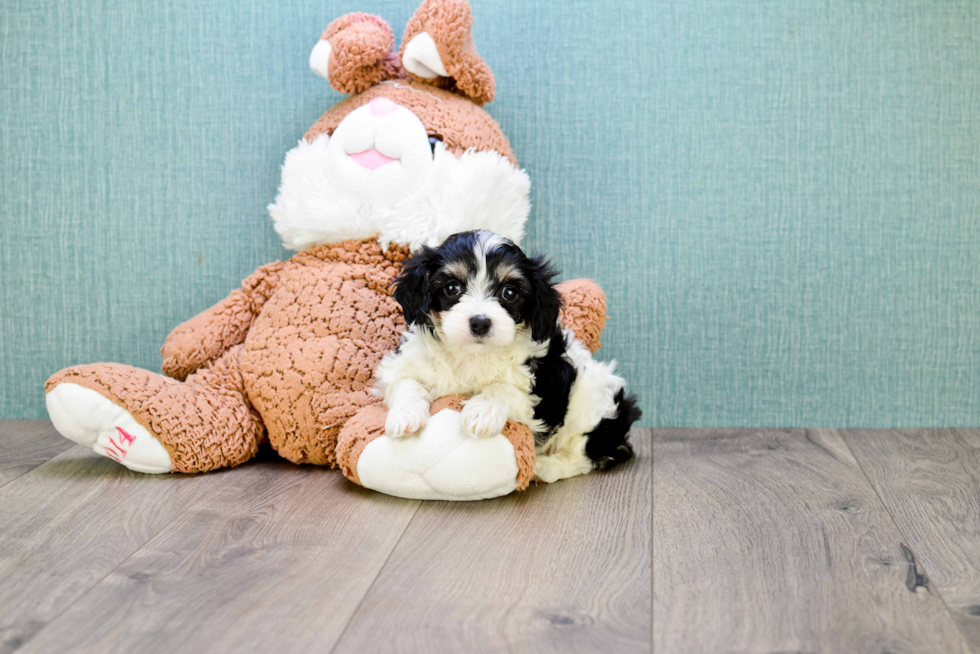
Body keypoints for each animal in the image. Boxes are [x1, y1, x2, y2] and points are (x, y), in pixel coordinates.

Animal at [372, 229, 640, 482]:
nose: (480, 322)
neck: (472, 354)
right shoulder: (405, 363)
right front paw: (405, 415)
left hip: (593, 407)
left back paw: (547, 467)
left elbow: (503, 388)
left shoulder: (542, 398)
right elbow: (406, 382)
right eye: (452, 288)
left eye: (509, 293)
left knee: (584, 455)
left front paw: (482, 411)